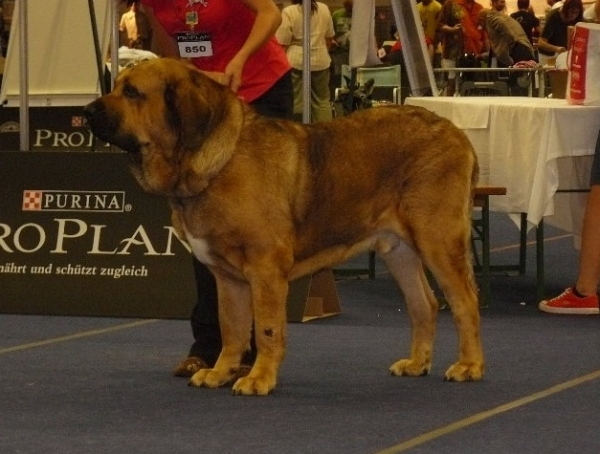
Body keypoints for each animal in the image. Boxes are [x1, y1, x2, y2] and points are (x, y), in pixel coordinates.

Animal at [84, 59, 482, 394]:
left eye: (132, 92)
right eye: (116, 85)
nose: (87, 110)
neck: (214, 164)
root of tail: (457, 134)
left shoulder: (265, 267)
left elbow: (267, 328)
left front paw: (259, 378)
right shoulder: (226, 278)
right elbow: (232, 327)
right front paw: (220, 372)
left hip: (437, 240)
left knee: (464, 302)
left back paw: (469, 366)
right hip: (398, 249)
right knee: (424, 305)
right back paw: (416, 363)